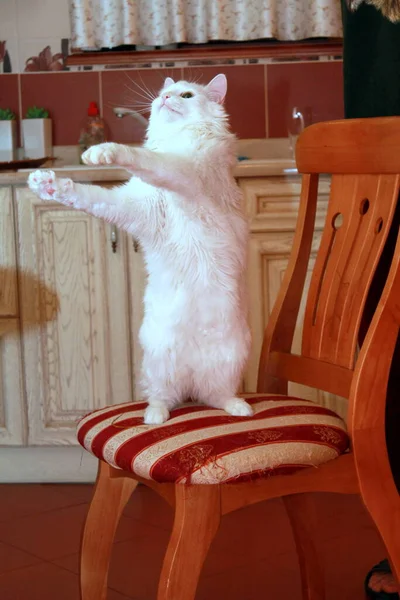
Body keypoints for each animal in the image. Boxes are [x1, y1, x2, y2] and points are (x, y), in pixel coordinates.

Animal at [28, 72, 252, 424]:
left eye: (186, 95)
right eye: (165, 92)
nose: (164, 98)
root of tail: (190, 385)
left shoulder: (182, 173)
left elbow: (142, 158)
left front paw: (101, 152)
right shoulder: (133, 206)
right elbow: (85, 193)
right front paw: (46, 183)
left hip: (227, 363)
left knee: (218, 396)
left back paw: (240, 408)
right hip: (158, 364)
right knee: (162, 397)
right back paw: (155, 416)